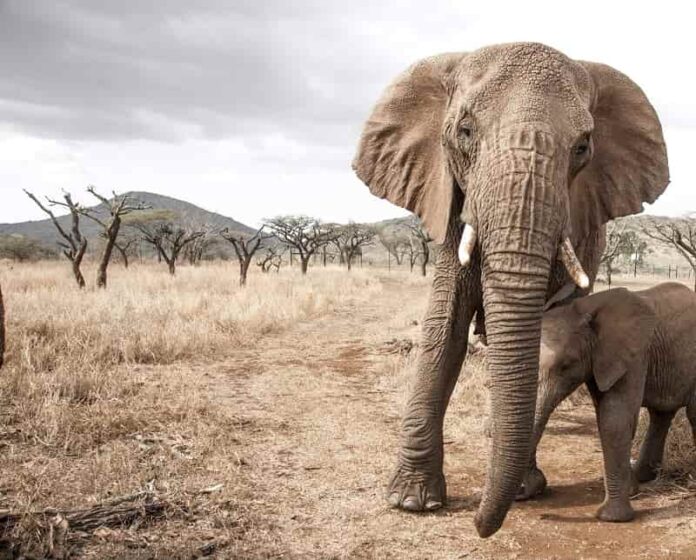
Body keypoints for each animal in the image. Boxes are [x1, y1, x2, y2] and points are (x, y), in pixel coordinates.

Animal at [352, 42, 669, 537]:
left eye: (583, 147)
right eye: (464, 132)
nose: (480, 525)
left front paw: (523, 489)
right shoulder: (452, 200)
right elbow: (444, 330)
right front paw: (411, 501)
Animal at [518, 282, 696, 522]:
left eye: (565, 366)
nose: (523, 490)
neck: (584, 308)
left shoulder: (633, 356)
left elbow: (614, 419)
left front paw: (611, 517)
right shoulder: (600, 361)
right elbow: (605, 416)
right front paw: (631, 491)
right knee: (660, 414)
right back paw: (644, 476)